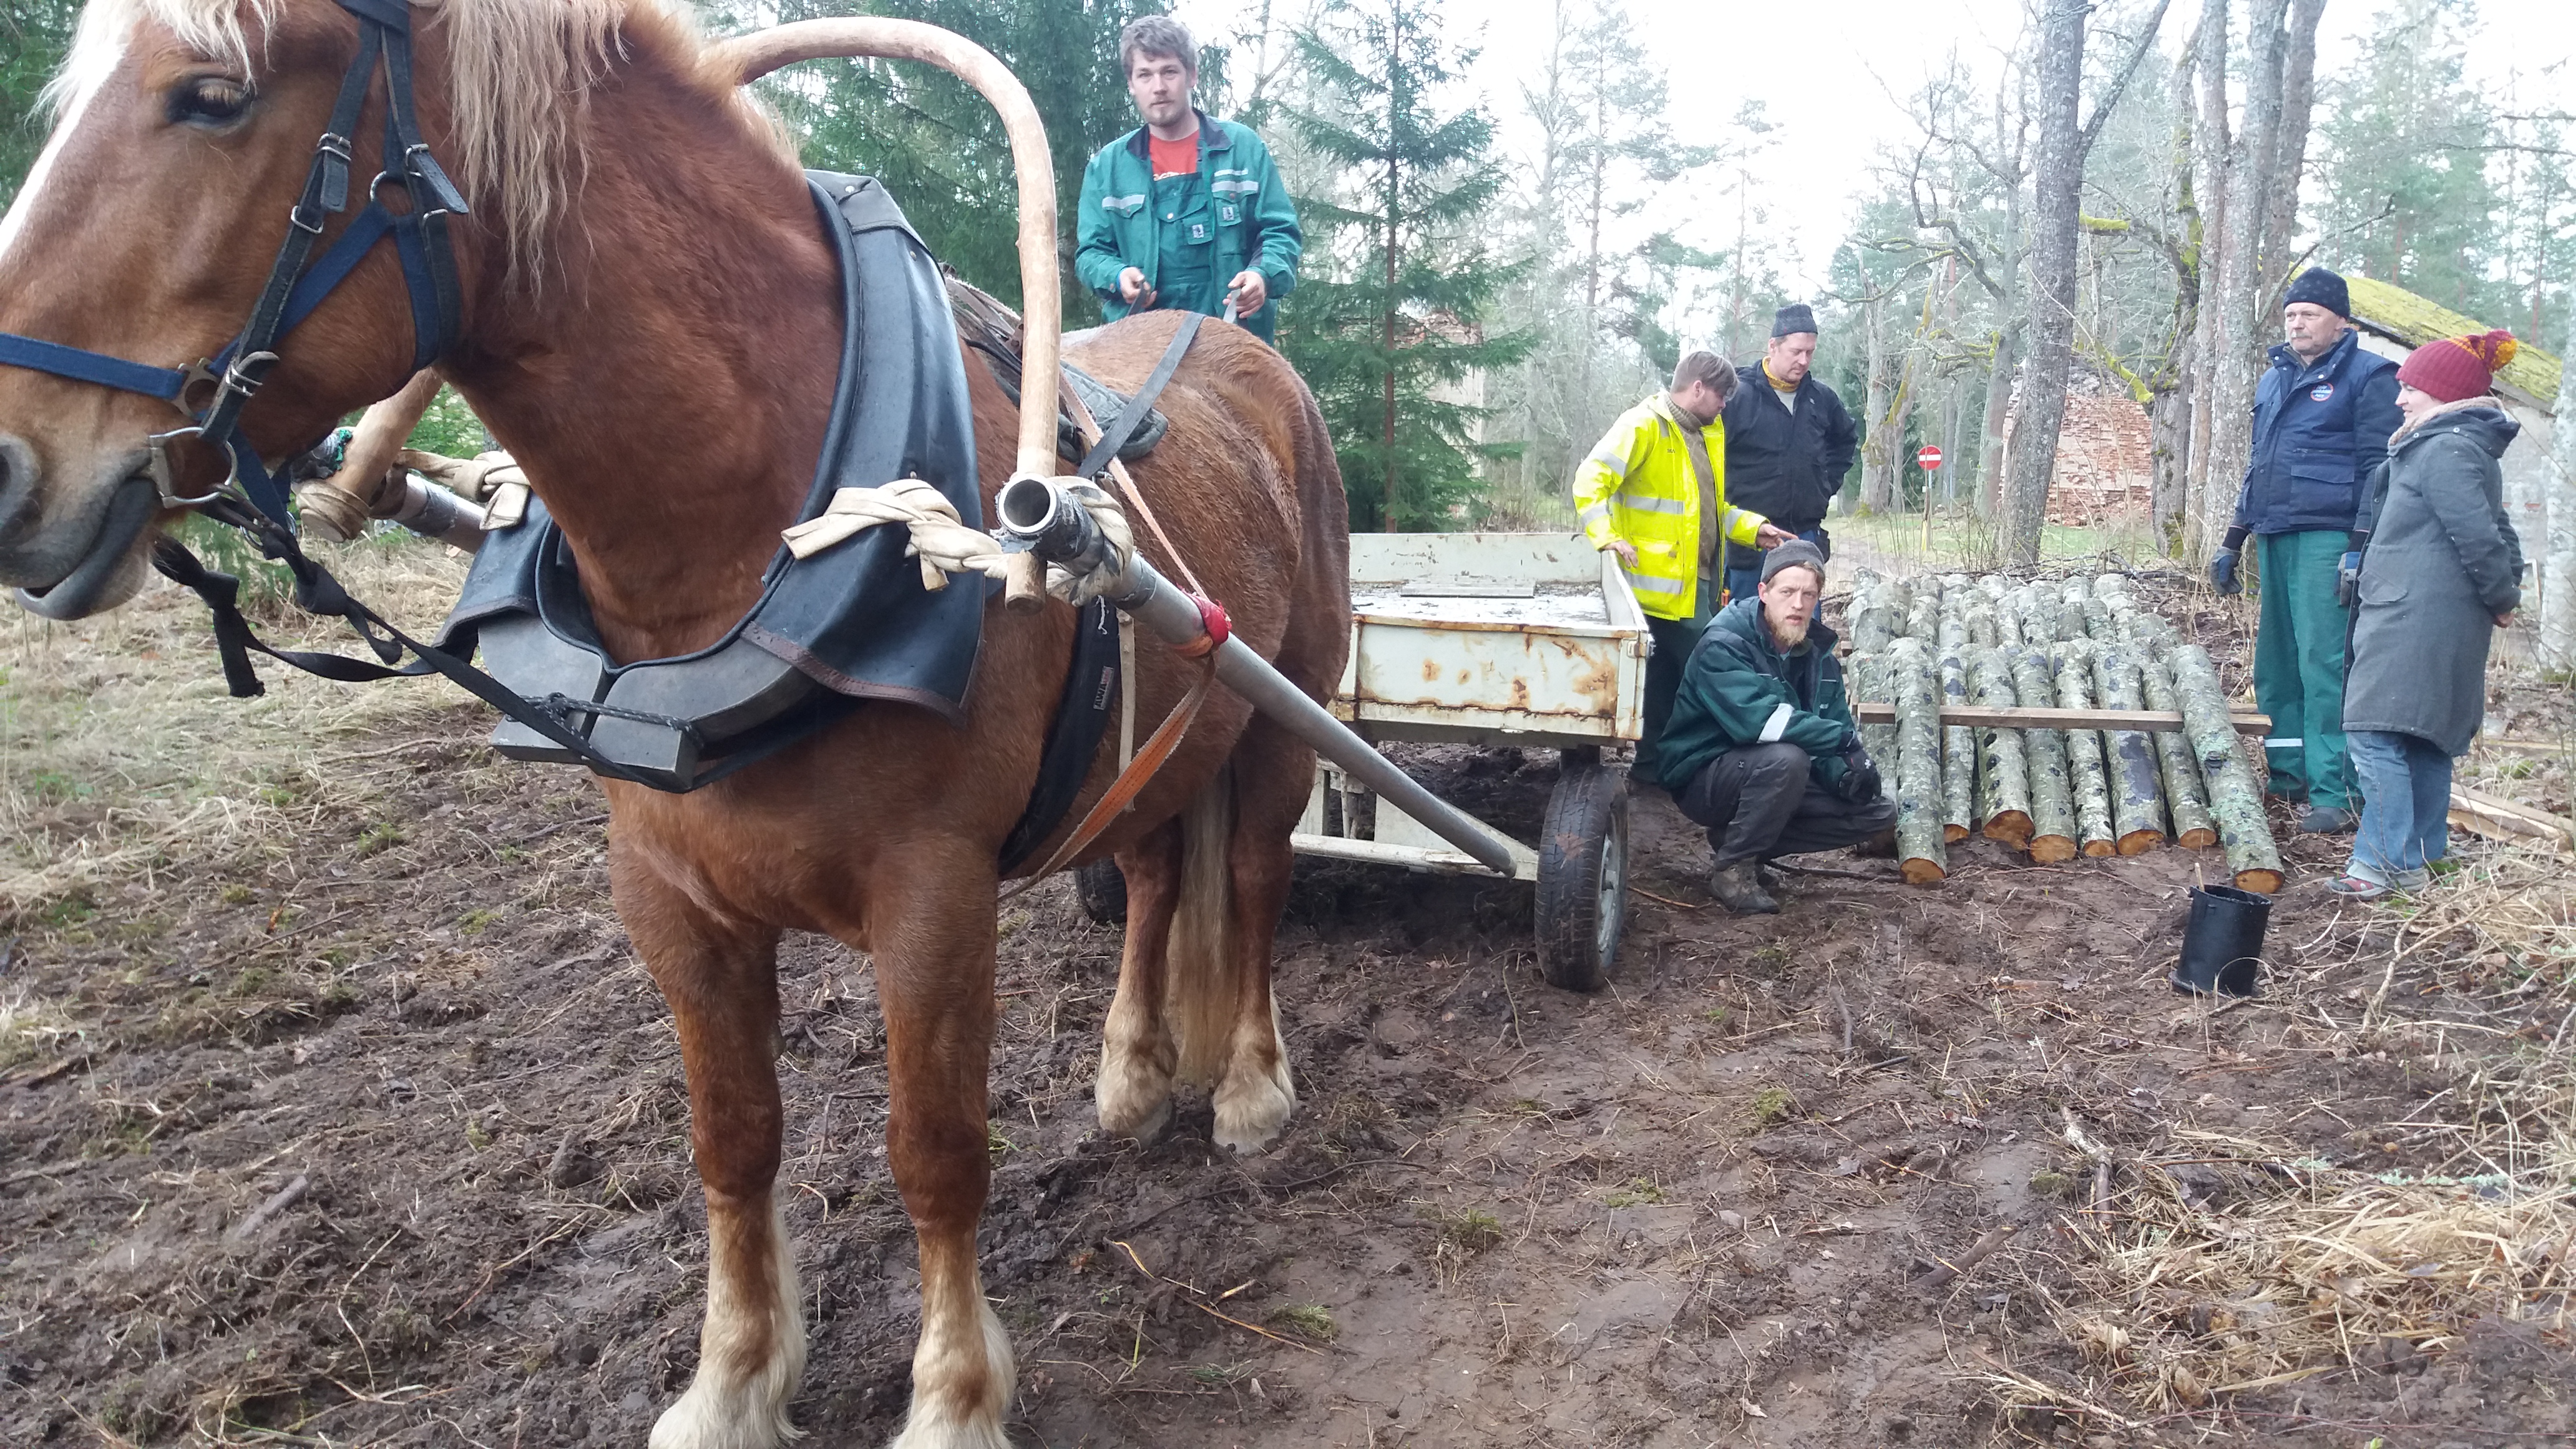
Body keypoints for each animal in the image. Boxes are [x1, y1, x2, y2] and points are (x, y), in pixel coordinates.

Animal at [0, 2, 1360, 1443]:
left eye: (212, 97)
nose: (9, 470)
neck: (758, 522)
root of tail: (1240, 352)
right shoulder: (667, 891)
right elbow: (731, 1137)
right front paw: (733, 1380)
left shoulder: (932, 896)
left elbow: (933, 1150)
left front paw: (951, 1396)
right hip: (1165, 735)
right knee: (1155, 874)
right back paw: (1135, 1072)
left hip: (1281, 717)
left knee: (1252, 882)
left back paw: (1250, 1084)